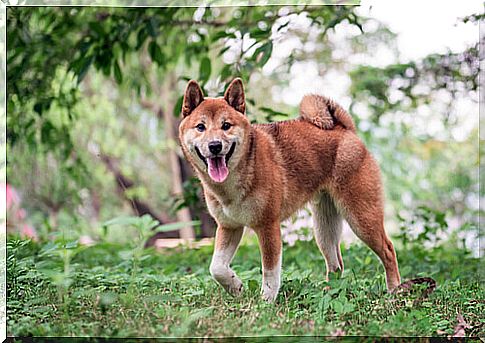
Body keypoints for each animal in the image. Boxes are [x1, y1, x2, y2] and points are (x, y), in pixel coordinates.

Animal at [179, 77, 400, 300]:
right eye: (200, 127)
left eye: (226, 126)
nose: (215, 145)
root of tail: (344, 129)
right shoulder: (229, 227)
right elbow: (216, 268)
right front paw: (236, 287)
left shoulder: (268, 226)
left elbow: (270, 273)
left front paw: (265, 302)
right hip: (323, 227)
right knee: (336, 264)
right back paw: (329, 293)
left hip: (360, 217)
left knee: (388, 250)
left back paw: (394, 290)